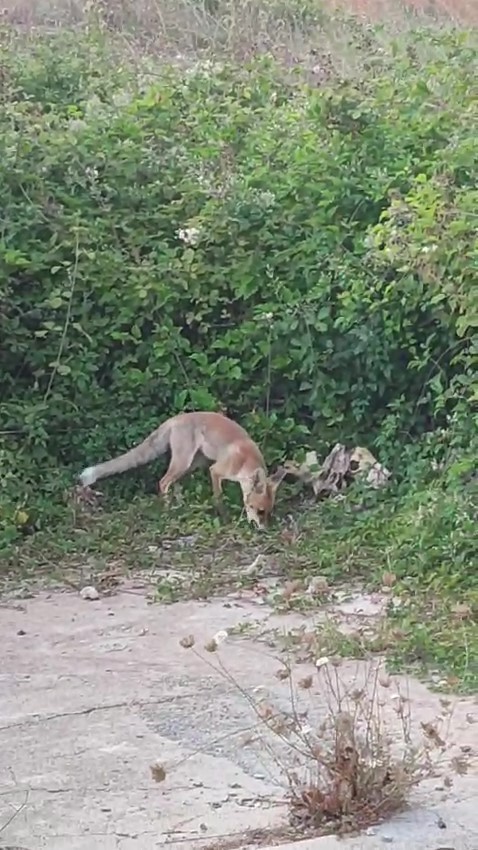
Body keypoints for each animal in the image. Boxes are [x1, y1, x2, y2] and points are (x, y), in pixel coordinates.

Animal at [80, 410, 286, 528]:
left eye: (268, 513)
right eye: (260, 511)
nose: (264, 530)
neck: (245, 462)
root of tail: (175, 419)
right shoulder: (216, 470)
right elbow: (218, 498)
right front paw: (224, 518)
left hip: (191, 464)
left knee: (175, 483)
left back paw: (180, 507)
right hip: (184, 463)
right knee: (163, 482)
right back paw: (168, 511)